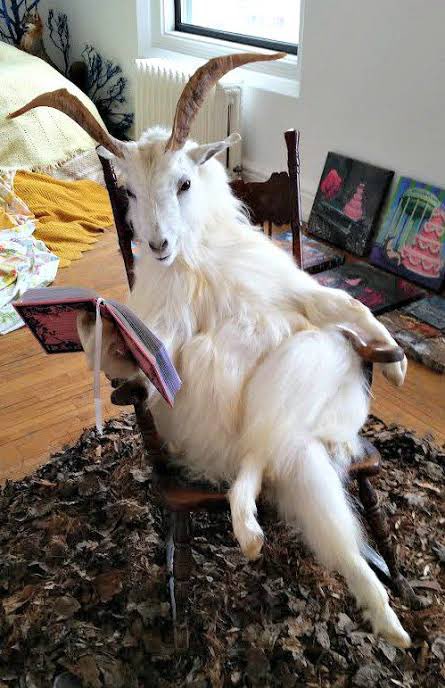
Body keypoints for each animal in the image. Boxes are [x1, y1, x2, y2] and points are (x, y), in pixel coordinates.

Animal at [9, 52, 410, 648]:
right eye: (128, 192)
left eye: (184, 182)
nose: (157, 245)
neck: (196, 262)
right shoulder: (158, 340)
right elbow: (132, 370)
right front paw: (88, 320)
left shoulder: (293, 289)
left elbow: (345, 303)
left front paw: (398, 363)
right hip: (275, 447)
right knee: (272, 467)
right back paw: (267, 542)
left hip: (312, 396)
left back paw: (384, 616)